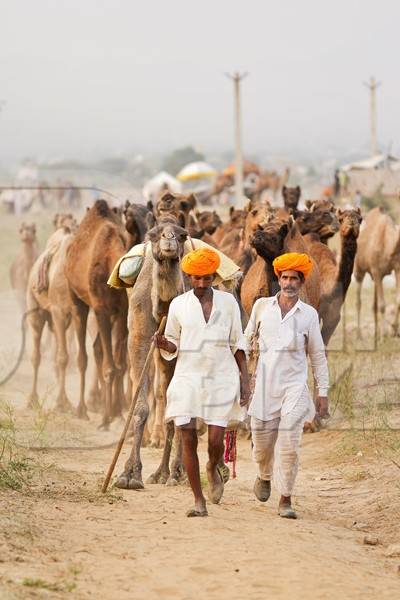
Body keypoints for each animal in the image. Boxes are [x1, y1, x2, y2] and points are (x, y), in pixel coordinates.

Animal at [65, 199, 128, 424]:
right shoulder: (102, 307)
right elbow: (110, 367)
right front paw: (107, 418)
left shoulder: (122, 310)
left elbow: (119, 365)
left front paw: (116, 413)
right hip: (79, 300)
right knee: (84, 357)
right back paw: (82, 410)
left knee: (96, 349)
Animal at [116, 218, 190, 490]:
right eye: (154, 234)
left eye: (182, 235)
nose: (169, 240)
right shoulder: (138, 338)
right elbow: (140, 407)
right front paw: (129, 474)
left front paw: (178, 472)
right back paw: (160, 473)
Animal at [354, 206, 400, 338]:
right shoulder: (377, 271)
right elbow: (382, 305)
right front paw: (384, 334)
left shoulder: (397, 268)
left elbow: (398, 300)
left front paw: (394, 330)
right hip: (359, 270)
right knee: (358, 301)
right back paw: (359, 334)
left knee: (374, 304)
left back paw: (375, 333)